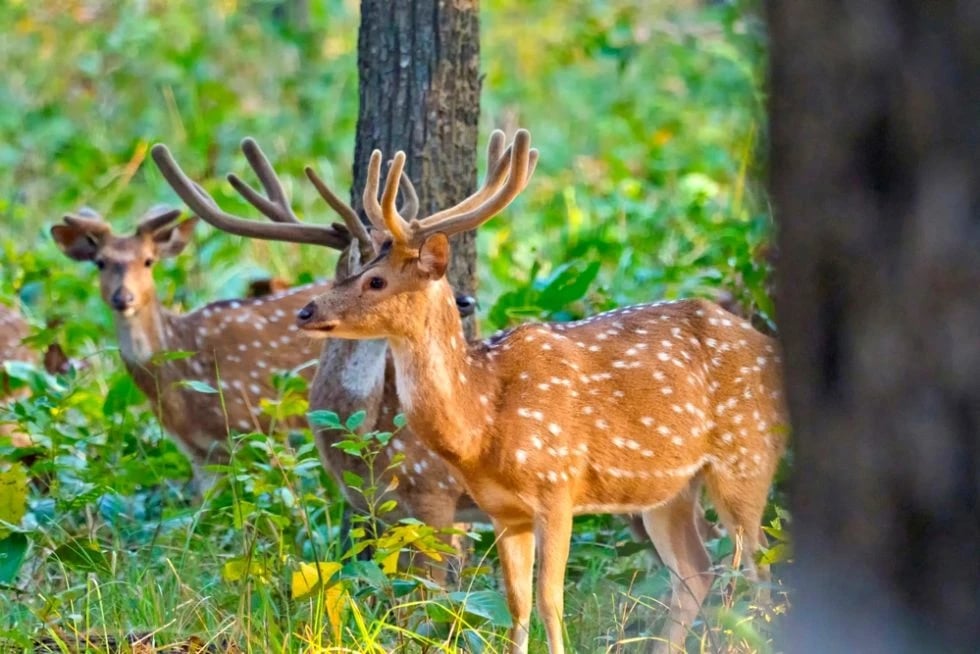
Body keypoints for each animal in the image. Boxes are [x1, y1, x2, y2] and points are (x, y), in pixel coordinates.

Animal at [274, 129, 786, 654]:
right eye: (350, 273)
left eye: (376, 280)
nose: (307, 311)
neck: (483, 420)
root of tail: (770, 348)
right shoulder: (504, 512)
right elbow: (516, 607)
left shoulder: (558, 487)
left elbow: (550, 603)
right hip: (666, 490)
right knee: (696, 571)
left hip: (745, 457)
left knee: (760, 569)